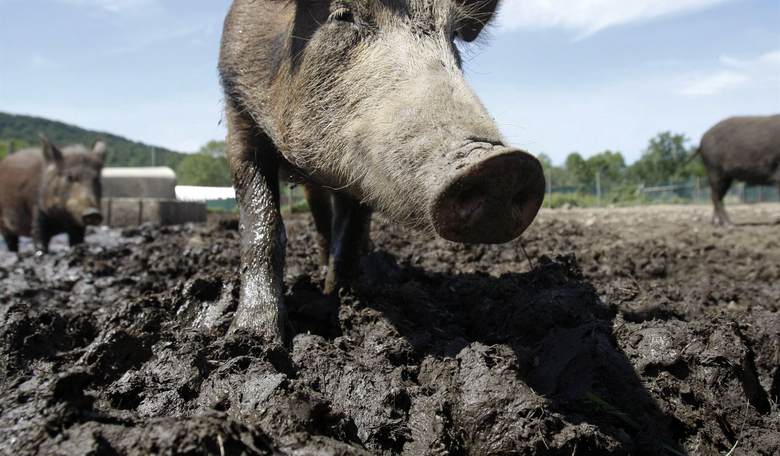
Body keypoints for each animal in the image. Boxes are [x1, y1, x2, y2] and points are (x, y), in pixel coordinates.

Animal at [219, 0, 546, 341]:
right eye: (343, 14)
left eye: (453, 34)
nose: (503, 164)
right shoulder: (237, 110)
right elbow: (262, 221)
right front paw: (252, 335)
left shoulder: (361, 171)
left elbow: (351, 229)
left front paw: (345, 295)